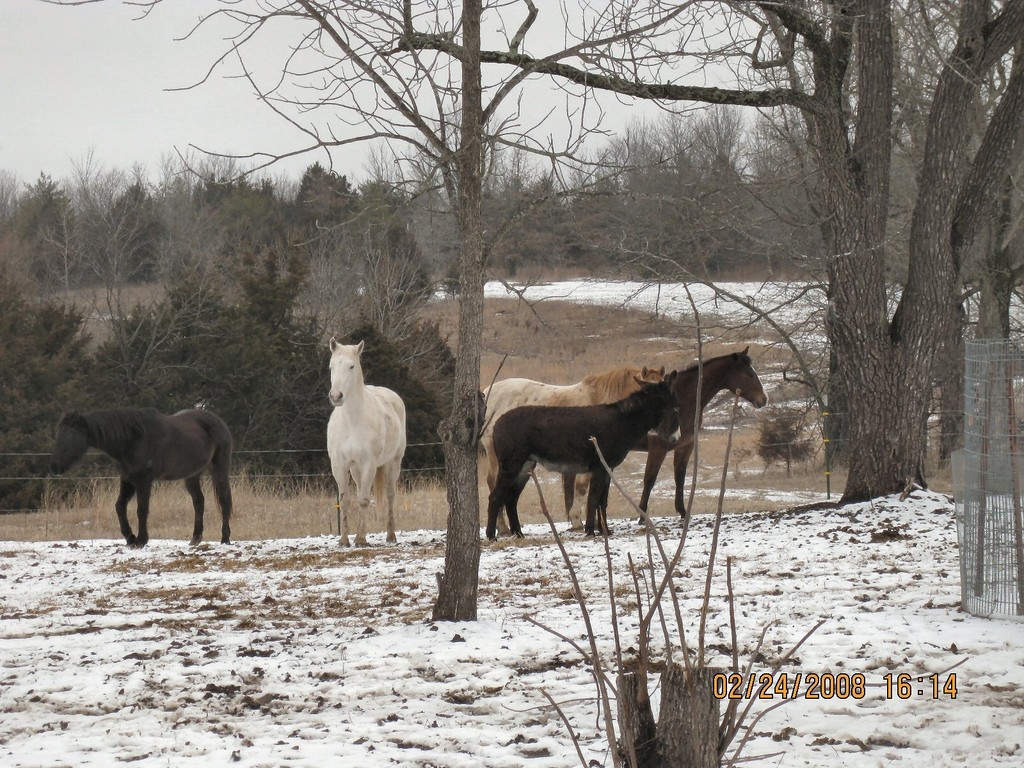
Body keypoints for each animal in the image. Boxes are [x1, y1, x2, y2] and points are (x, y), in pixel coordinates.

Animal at [47, 408, 234, 548]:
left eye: (68, 436)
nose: (54, 467)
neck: (131, 439)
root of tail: (219, 422)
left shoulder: (143, 480)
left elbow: (141, 509)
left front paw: (141, 540)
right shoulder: (127, 479)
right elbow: (119, 506)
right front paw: (129, 537)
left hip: (219, 469)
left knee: (224, 501)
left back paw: (225, 539)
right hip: (192, 475)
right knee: (199, 502)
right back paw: (195, 538)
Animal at [327, 338, 407, 547]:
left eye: (351, 366)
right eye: (331, 367)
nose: (336, 396)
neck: (352, 422)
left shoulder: (369, 464)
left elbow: (363, 500)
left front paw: (361, 540)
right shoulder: (339, 465)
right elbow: (345, 500)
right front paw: (344, 540)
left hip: (393, 462)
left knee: (390, 494)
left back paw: (390, 535)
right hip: (356, 469)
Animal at [485, 372, 680, 540]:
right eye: (676, 407)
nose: (676, 439)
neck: (622, 421)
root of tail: (496, 424)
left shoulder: (607, 468)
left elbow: (602, 501)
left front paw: (605, 531)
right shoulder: (600, 468)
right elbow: (593, 498)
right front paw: (590, 531)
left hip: (525, 466)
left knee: (511, 499)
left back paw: (518, 533)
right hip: (511, 465)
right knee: (495, 497)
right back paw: (491, 535)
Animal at [563, 347, 768, 520]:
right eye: (749, 374)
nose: (764, 399)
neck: (682, 399)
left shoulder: (685, 446)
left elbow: (680, 478)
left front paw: (683, 511)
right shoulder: (658, 448)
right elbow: (649, 479)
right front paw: (642, 516)